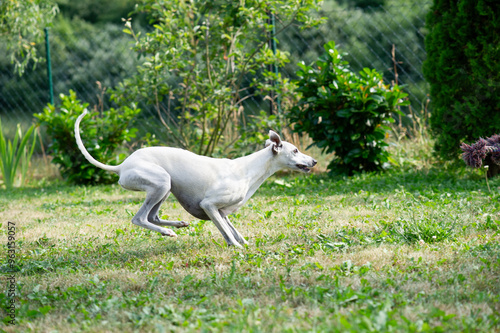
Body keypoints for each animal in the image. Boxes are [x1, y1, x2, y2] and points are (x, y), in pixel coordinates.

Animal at [74, 109, 316, 246]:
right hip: (161, 183)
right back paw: (167, 231)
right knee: (139, 218)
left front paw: (246, 244)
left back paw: (176, 225)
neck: (249, 169)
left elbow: (234, 231)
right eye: (295, 150)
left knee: (153, 216)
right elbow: (228, 234)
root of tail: (122, 165)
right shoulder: (209, 205)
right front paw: (237, 249)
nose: (313, 161)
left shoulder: (222, 212)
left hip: (165, 188)